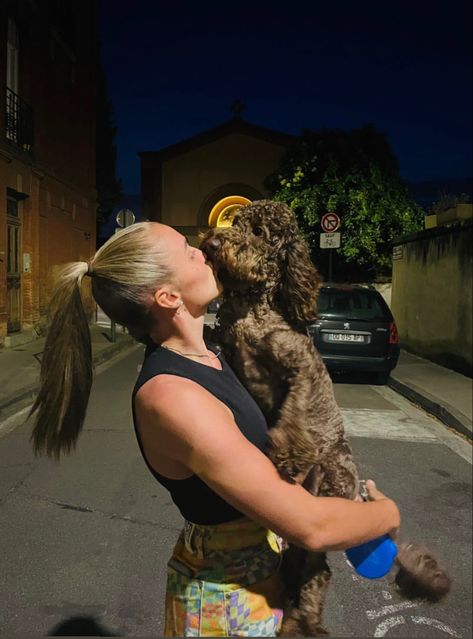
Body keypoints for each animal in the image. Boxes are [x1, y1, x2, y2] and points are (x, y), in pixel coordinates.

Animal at [199, 199, 450, 636]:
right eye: (235, 222)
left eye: (259, 232)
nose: (211, 243)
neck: (252, 311)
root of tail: (355, 495)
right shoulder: (229, 345)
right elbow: (216, 339)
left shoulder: (301, 367)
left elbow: (298, 411)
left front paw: (288, 452)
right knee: (305, 568)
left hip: (331, 479)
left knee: (319, 572)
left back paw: (306, 623)